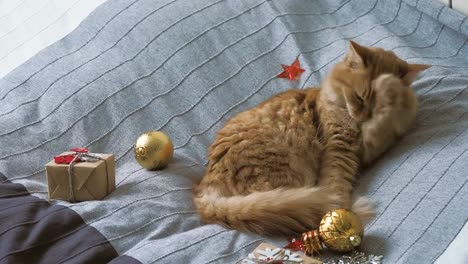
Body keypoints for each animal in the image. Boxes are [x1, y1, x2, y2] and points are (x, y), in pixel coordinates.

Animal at [192, 41, 430, 237]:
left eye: (370, 105)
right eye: (359, 98)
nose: (362, 118)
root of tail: (206, 191)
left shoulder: (370, 147)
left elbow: (391, 120)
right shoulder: (341, 148)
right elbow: (336, 186)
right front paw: (340, 215)